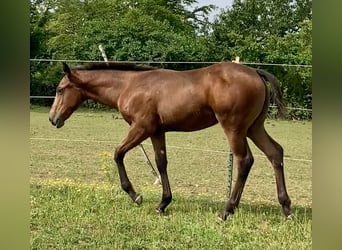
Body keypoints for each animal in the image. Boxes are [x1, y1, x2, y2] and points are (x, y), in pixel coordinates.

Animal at [48, 62, 292, 221]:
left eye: (60, 90)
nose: (53, 119)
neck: (129, 85)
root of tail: (255, 72)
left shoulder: (141, 127)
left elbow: (118, 153)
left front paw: (135, 196)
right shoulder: (157, 131)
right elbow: (161, 163)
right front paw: (163, 203)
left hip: (234, 128)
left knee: (245, 160)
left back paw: (226, 210)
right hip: (254, 128)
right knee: (275, 152)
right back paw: (285, 208)